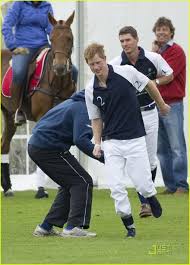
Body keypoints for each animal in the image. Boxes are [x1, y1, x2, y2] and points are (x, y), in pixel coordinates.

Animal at [0, 11, 76, 194]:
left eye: (69, 38)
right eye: (52, 38)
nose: (60, 67)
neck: (57, 82)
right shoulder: (43, 116)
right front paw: (41, 189)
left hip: (9, 114)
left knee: (4, 145)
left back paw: (7, 187)